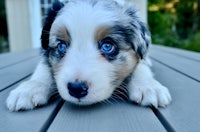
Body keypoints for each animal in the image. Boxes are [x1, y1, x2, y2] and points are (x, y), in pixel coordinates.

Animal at [6, 0, 172, 111]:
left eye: (107, 46)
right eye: (61, 46)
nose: (76, 88)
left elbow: (140, 65)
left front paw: (149, 87)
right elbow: (43, 67)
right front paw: (29, 89)